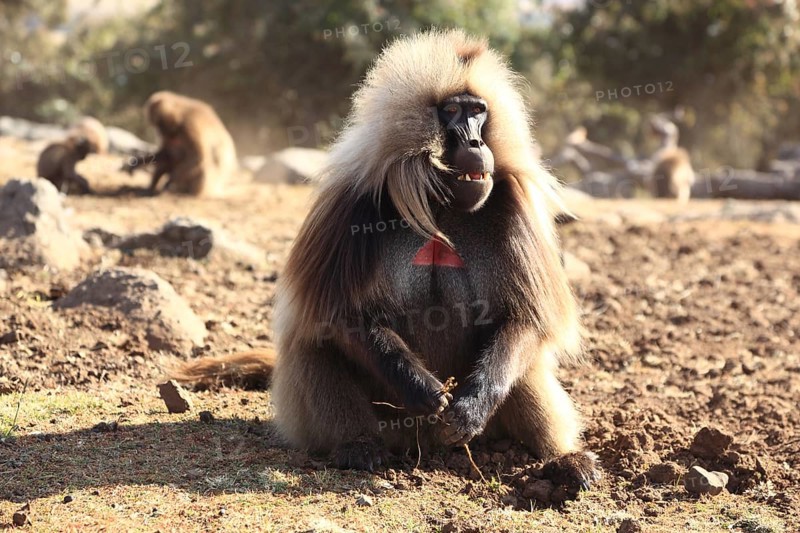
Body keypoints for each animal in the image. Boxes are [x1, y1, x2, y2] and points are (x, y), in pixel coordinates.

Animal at [173, 30, 599, 491]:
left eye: (479, 111)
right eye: (452, 111)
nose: (476, 143)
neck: (438, 203)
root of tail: (423, 445)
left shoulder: (513, 205)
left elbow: (524, 317)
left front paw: (472, 405)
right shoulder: (349, 206)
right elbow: (339, 313)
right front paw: (423, 389)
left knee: (524, 362)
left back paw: (565, 461)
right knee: (313, 341)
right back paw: (358, 447)